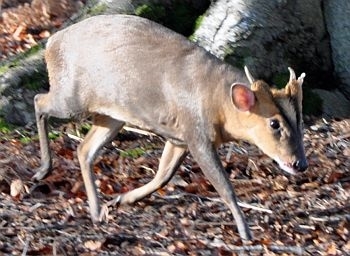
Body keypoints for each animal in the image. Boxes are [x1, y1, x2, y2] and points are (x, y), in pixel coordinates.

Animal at [32, 14, 306, 242]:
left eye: (300, 120)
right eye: (274, 123)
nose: (300, 164)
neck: (218, 103)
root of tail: (51, 42)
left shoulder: (178, 138)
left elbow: (163, 174)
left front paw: (123, 199)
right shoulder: (196, 134)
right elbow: (225, 187)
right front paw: (245, 233)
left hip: (112, 115)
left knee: (84, 149)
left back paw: (97, 211)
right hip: (71, 97)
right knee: (39, 101)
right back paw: (43, 170)